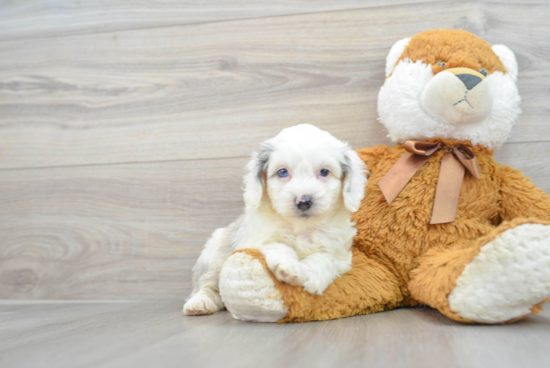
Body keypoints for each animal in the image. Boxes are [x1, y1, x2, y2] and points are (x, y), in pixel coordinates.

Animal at [183, 125, 368, 314]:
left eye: (324, 172)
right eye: (282, 172)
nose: (303, 201)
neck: (301, 227)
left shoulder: (339, 253)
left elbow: (325, 257)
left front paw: (310, 273)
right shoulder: (258, 240)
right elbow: (278, 245)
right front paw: (288, 266)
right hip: (213, 256)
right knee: (207, 284)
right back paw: (200, 302)